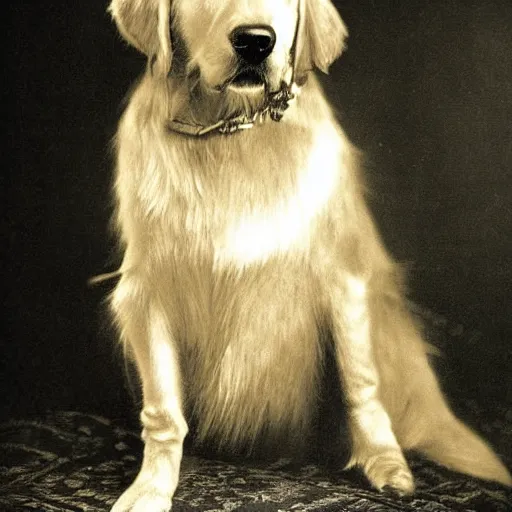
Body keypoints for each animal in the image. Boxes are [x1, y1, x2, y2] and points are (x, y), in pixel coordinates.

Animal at [105, 0, 512, 510]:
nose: (256, 41)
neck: (231, 131)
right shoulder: (149, 291)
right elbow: (163, 412)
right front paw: (150, 488)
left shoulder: (342, 279)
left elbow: (360, 383)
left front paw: (386, 466)